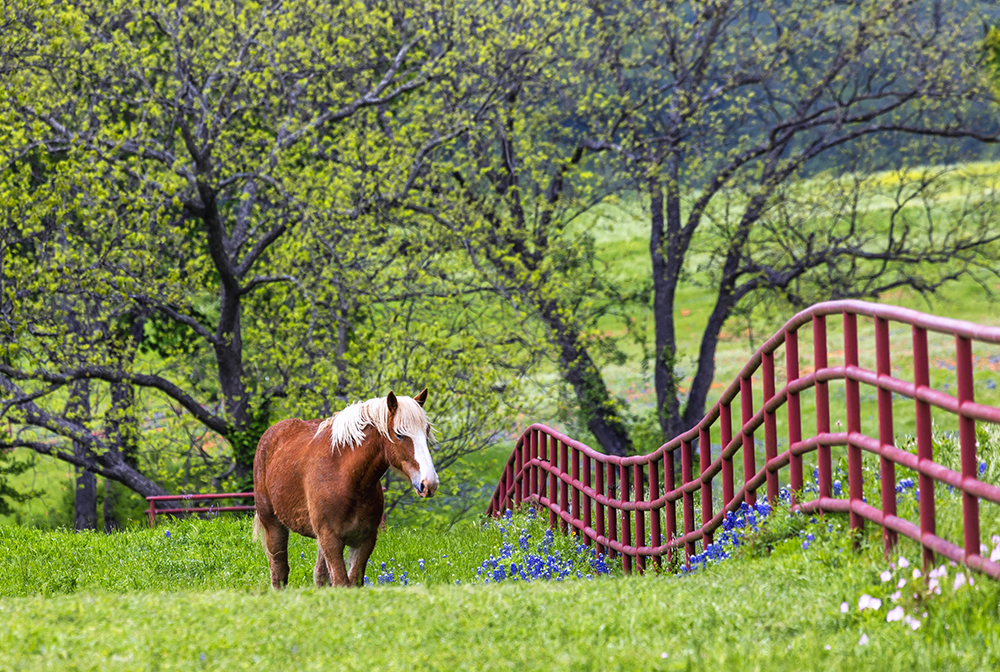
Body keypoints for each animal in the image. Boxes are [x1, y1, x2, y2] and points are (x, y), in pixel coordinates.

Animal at [252, 388, 436, 588]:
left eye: (426, 432)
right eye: (400, 434)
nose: (429, 483)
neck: (347, 479)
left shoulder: (365, 540)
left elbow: (353, 581)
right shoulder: (330, 539)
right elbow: (341, 581)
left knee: (320, 575)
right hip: (273, 524)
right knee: (279, 572)